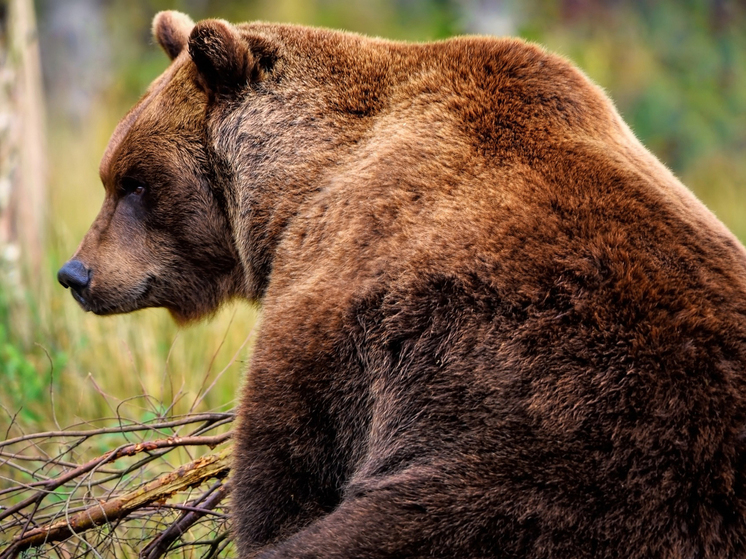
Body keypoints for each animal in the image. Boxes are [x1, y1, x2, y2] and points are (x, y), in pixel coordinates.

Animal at [56, 9, 744, 559]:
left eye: (134, 182)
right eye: (111, 174)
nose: (75, 273)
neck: (296, 187)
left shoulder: (342, 303)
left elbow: (287, 468)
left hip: (555, 472)